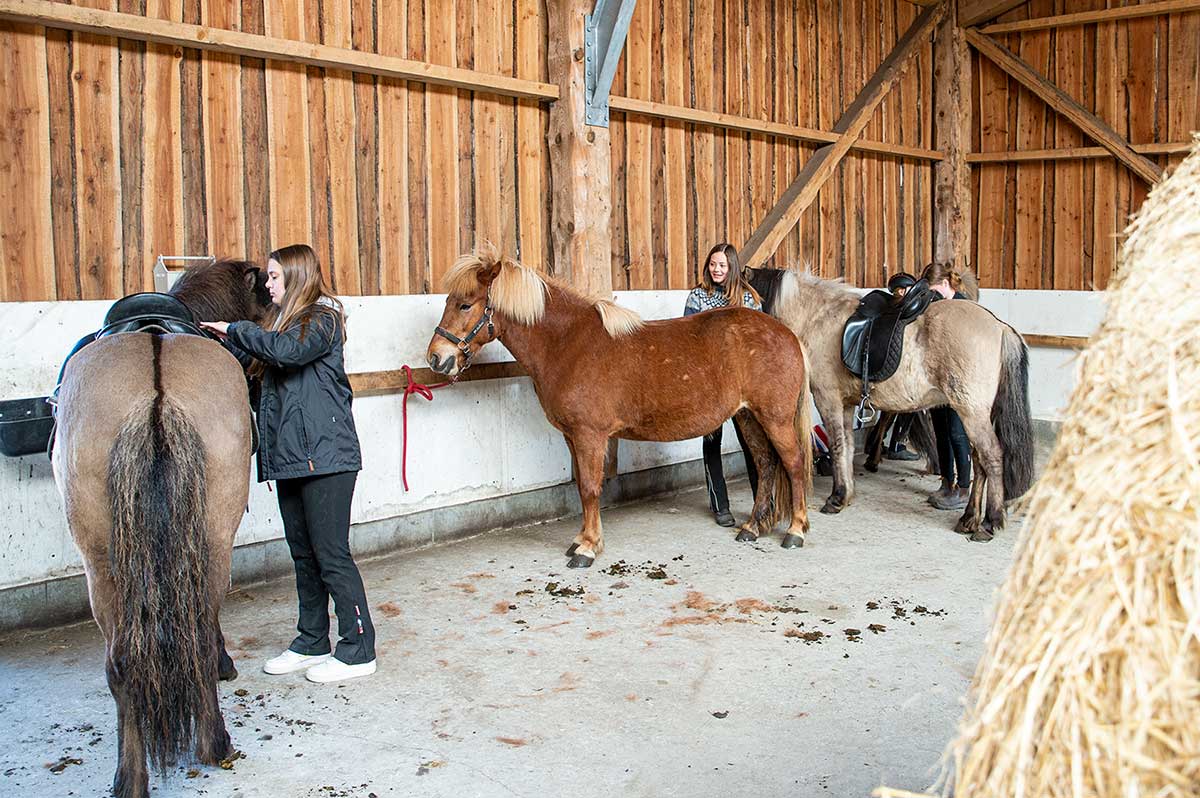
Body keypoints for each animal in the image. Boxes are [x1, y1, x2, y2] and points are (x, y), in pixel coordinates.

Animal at [424, 246, 816, 568]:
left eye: (465, 304)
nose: (436, 358)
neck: (568, 343)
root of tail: (787, 334)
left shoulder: (590, 435)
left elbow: (589, 488)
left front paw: (587, 549)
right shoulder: (573, 437)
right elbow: (582, 486)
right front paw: (581, 540)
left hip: (775, 418)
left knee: (793, 463)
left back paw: (795, 531)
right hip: (748, 416)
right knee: (766, 463)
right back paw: (751, 527)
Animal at [748, 267, 1032, 542]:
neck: (817, 317)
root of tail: (999, 326)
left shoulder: (828, 399)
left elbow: (837, 446)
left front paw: (836, 498)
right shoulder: (847, 404)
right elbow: (847, 446)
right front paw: (846, 494)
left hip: (971, 412)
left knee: (991, 457)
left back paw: (989, 523)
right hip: (977, 414)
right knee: (979, 461)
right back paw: (969, 519)